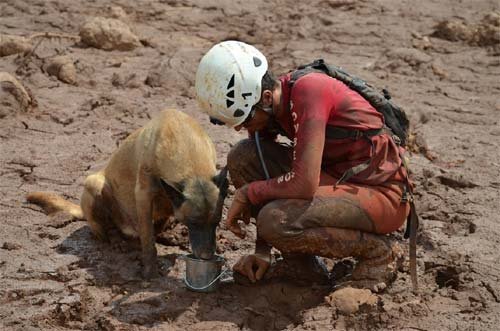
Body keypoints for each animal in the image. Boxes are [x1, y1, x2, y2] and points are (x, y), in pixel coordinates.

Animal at [28, 110, 228, 278]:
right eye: (192, 222)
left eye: (216, 222)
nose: (206, 256)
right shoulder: (143, 195)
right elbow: (147, 241)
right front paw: (150, 271)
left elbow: (154, 230)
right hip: (94, 184)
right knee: (104, 230)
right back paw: (116, 240)